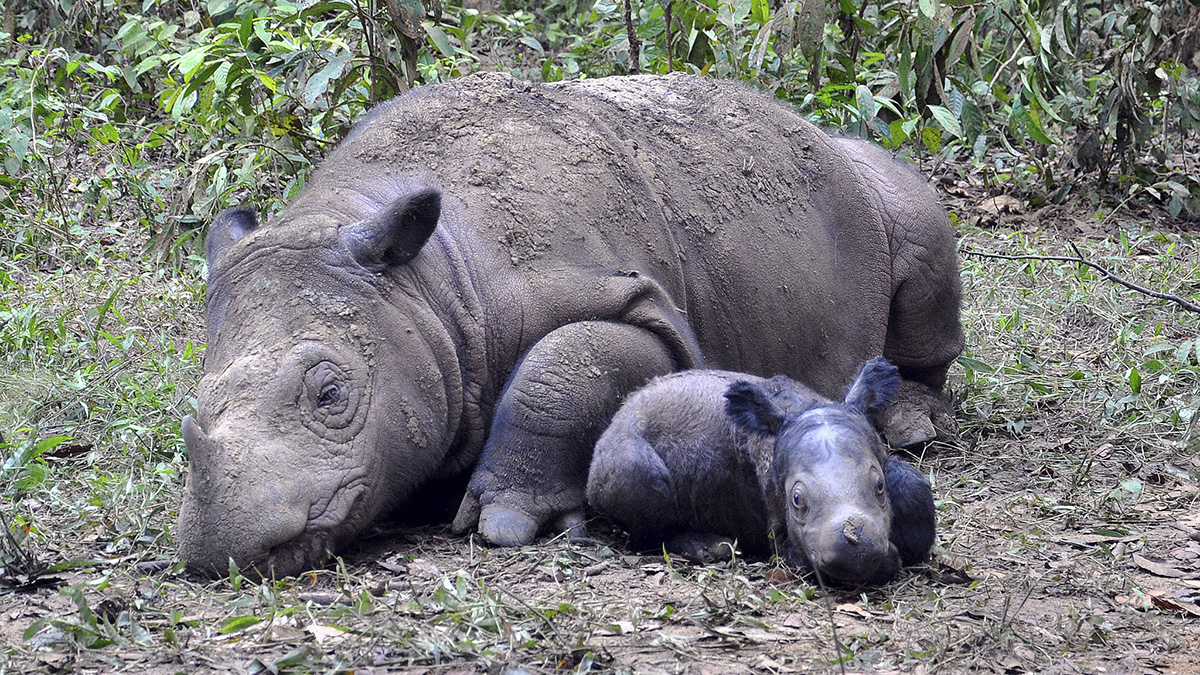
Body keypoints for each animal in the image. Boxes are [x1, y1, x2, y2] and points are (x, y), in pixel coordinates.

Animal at [586, 358, 936, 585]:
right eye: (797, 500)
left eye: (879, 486)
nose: (856, 553)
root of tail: (616, 417)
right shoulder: (783, 536)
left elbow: (915, 492)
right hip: (620, 455)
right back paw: (709, 547)